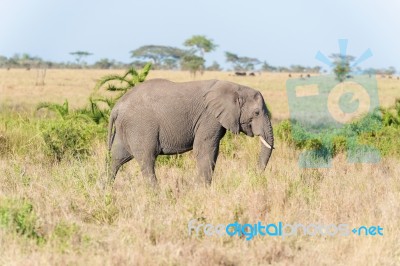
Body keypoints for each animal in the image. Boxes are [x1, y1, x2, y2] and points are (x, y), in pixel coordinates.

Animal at [107, 79, 276, 186]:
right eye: (256, 113)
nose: (254, 174)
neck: (236, 87)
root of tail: (116, 107)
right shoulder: (209, 117)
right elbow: (205, 150)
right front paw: (201, 190)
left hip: (126, 128)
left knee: (116, 159)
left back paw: (105, 191)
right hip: (140, 126)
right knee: (146, 160)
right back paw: (157, 195)